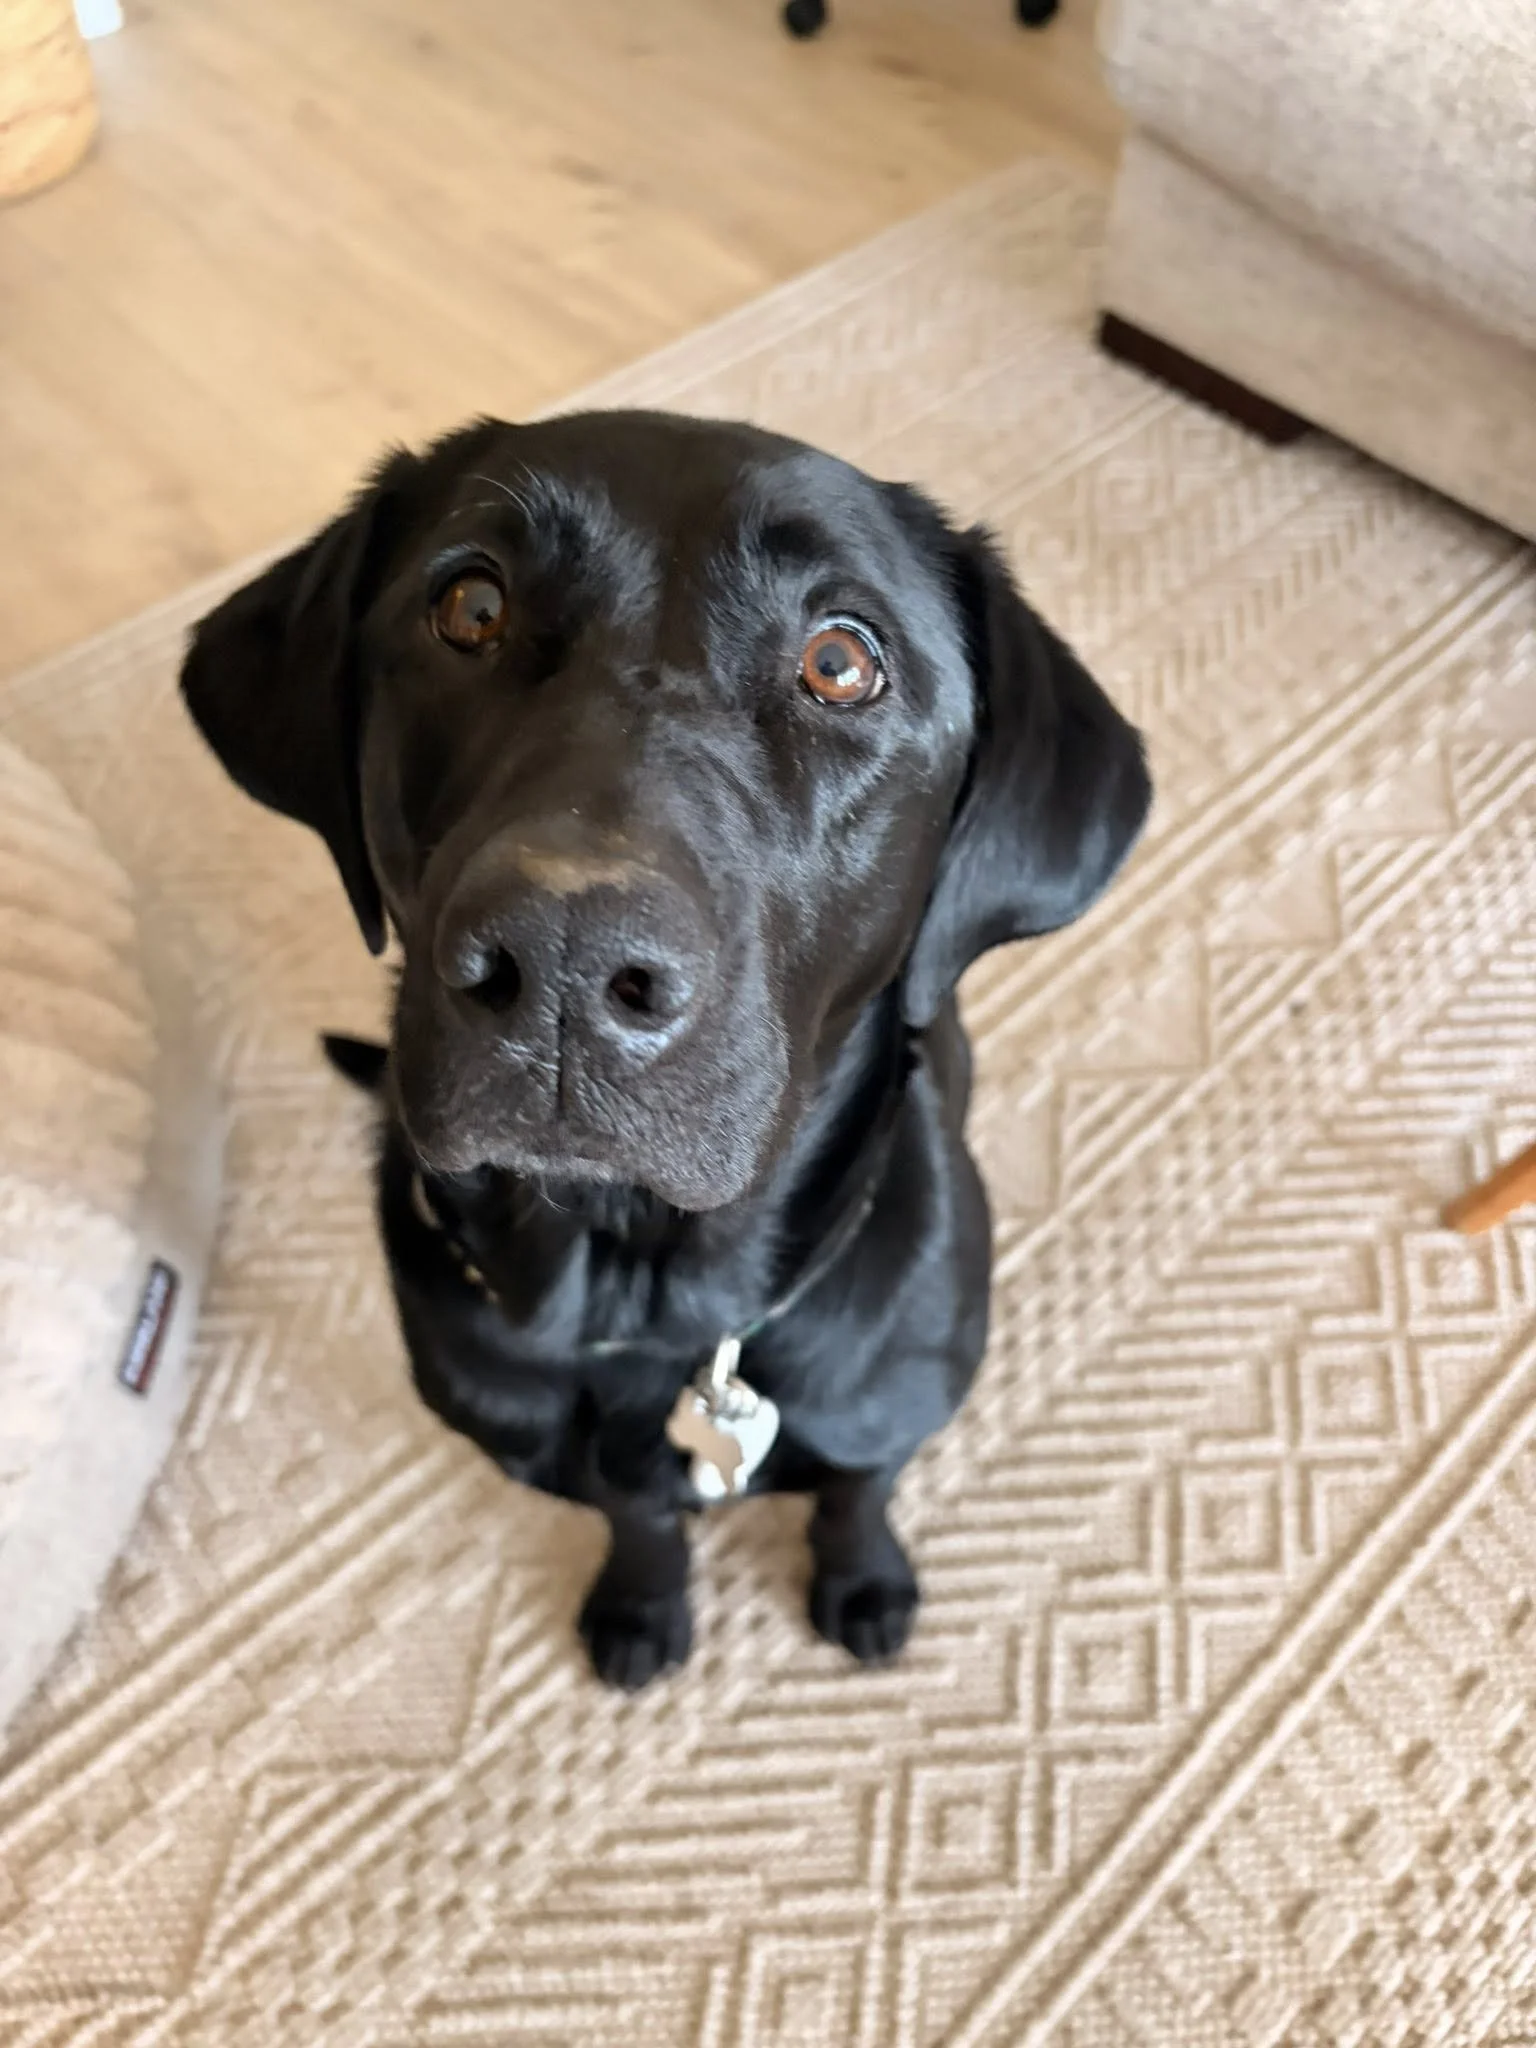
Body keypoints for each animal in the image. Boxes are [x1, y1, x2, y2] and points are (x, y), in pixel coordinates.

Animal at [181, 411, 1150, 1688]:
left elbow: (859, 1488)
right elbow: (638, 1513)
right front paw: (643, 1604)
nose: (567, 958)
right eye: (470, 607)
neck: (649, 1304)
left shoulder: (888, 1406)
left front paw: (864, 1581)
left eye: (841, 661)